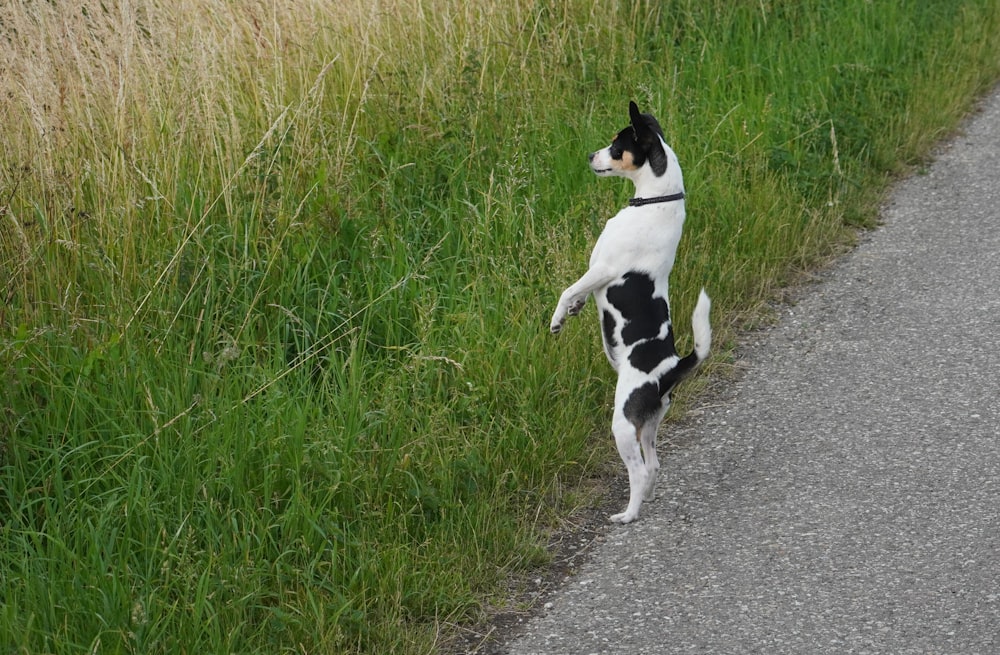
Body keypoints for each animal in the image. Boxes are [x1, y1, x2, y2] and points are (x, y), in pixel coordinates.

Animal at [548, 100, 712, 524]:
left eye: (616, 145)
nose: (590, 156)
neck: (657, 201)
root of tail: (670, 369)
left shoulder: (602, 269)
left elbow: (567, 289)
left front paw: (558, 318)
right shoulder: (596, 274)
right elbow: (577, 294)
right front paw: (574, 310)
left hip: (623, 424)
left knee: (638, 470)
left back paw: (628, 515)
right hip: (649, 424)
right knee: (653, 466)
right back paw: (645, 502)